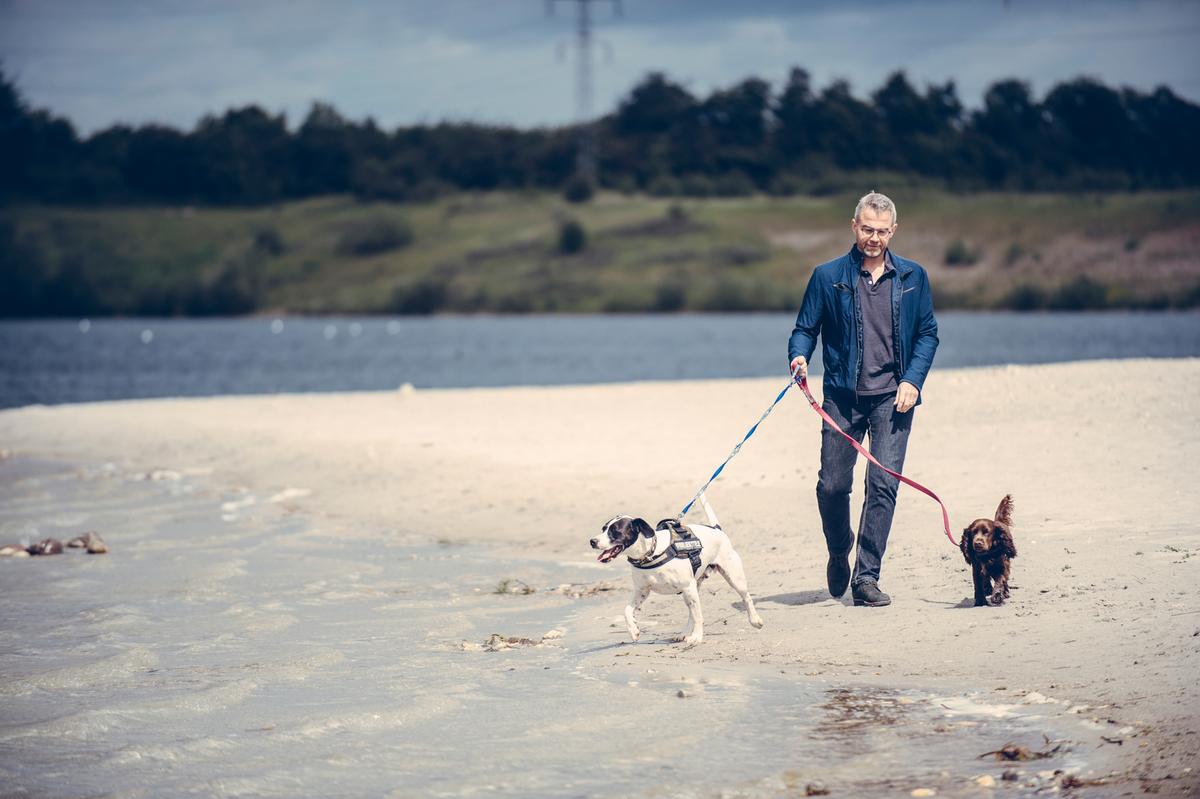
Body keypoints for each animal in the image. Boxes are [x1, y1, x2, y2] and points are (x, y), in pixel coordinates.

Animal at [588, 494, 763, 643]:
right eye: (603, 529)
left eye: (615, 531)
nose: (592, 541)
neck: (652, 553)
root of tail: (716, 529)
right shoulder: (642, 591)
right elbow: (626, 610)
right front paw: (634, 630)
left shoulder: (687, 587)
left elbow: (699, 616)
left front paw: (697, 637)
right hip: (691, 590)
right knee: (692, 613)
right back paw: (684, 633)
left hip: (731, 577)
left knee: (745, 597)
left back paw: (755, 620)